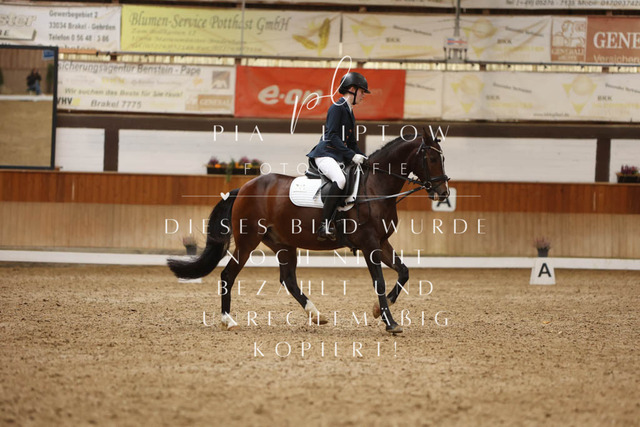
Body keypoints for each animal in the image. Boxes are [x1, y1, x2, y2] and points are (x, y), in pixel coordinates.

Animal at [168, 129, 449, 334]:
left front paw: (378, 310)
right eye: (432, 159)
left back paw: (316, 314)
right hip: (248, 241)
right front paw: (390, 323)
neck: (375, 187)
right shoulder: (370, 244)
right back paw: (228, 320)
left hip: (283, 243)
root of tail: (245, 187)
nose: (443, 193)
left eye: (443, 158)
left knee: (288, 280)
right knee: (228, 274)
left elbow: (404, 272)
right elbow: (379, 282)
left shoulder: (381, 242)